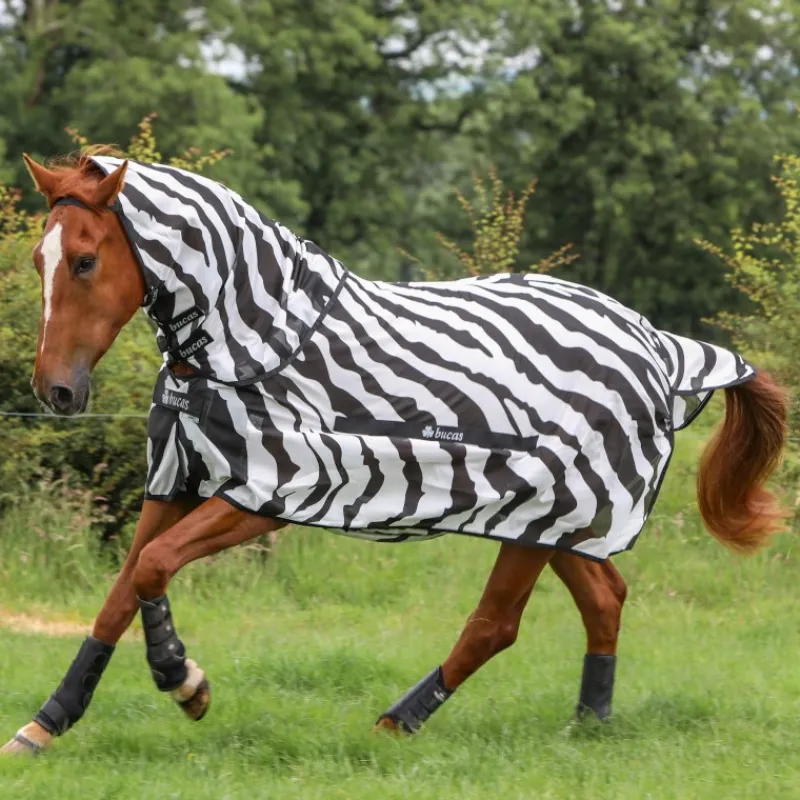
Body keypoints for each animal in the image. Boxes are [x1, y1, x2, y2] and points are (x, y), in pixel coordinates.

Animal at [1, 148, 788, 756]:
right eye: (40, 259)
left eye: (84, 261)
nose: (56, 391)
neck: (254, 343)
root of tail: (659, 344)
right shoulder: (178, 480)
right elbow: (118, 594)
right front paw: (47, 723)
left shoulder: (274, 489)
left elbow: (153, 570)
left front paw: (183, 682)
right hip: (555, 522)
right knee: (603, 597)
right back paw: (588, 724)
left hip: (543, 511)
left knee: (495, 624)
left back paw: (395, 725)